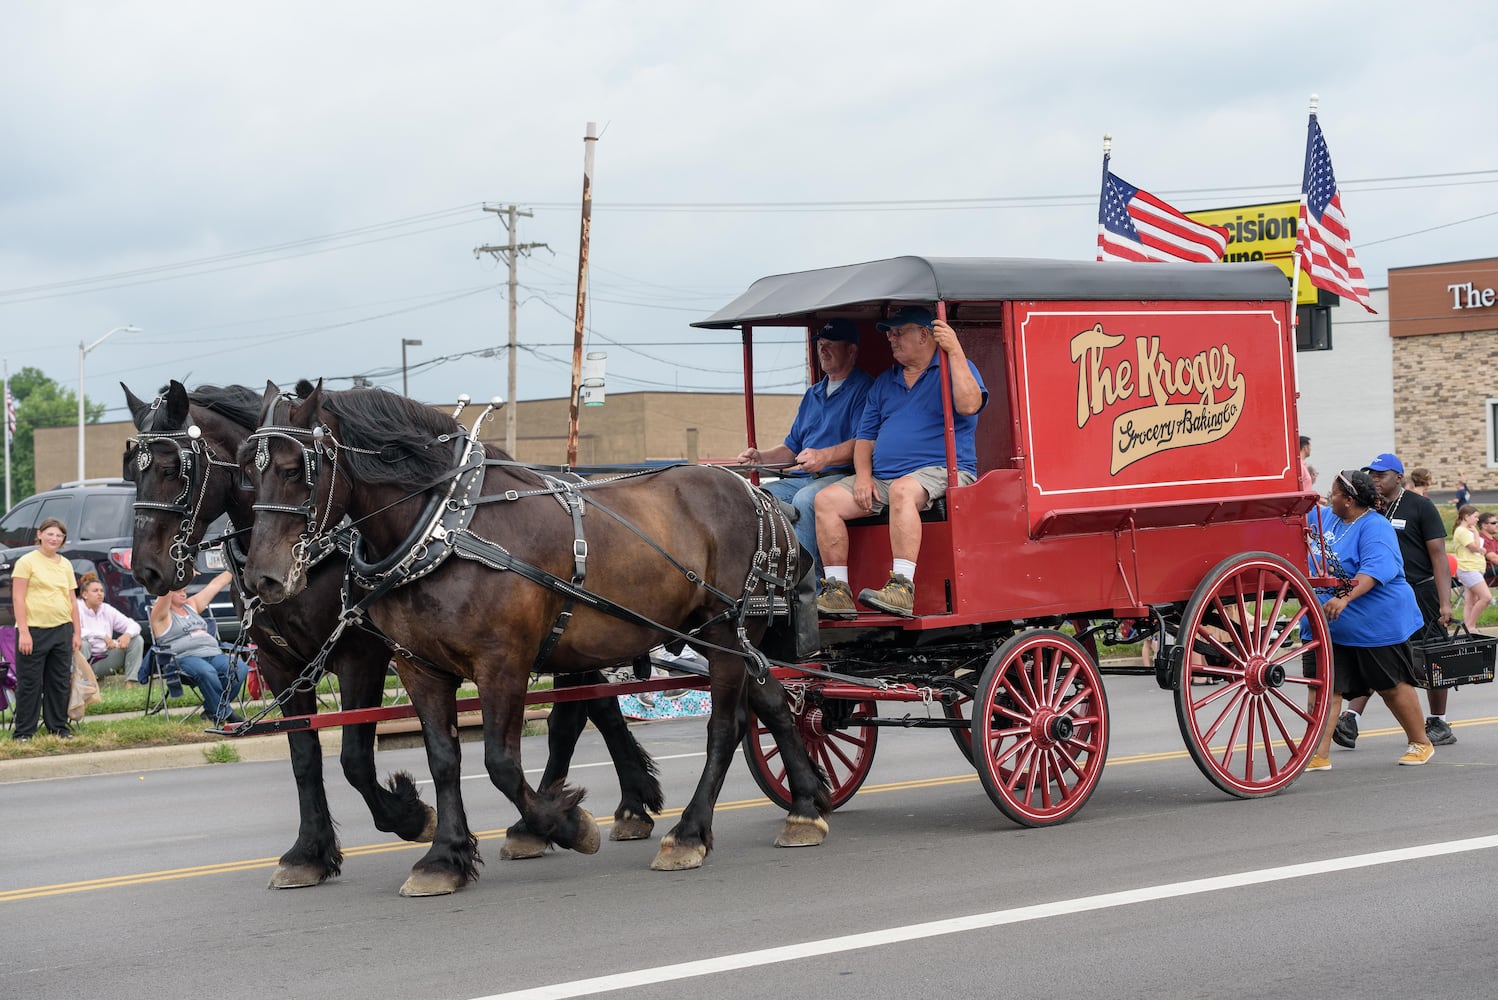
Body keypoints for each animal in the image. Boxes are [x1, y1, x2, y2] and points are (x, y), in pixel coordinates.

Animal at [125, 383, 665, 892]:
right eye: (133, 469)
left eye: (175, 469)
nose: (148, 570)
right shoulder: (282, 664)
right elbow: (305, 759)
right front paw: (308, 854)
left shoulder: (359, 654)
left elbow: (354, 759)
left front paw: (410, 817)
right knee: (590, 709)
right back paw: (604, 810)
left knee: (575, 717)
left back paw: (601, 813)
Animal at [244, 383, 832, 898]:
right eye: (251, 474)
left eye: (295, 471)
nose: (262, 579)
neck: (445, 528)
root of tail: (756, 492)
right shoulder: (418, 666)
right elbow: (444, 759)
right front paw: (444, 858)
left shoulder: (501, 662)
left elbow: (502, 763)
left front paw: (569, 826)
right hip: (720, 638)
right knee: (774, 703)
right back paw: (806, 805)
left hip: (722, 630)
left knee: (725, 727)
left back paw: (688, 834)